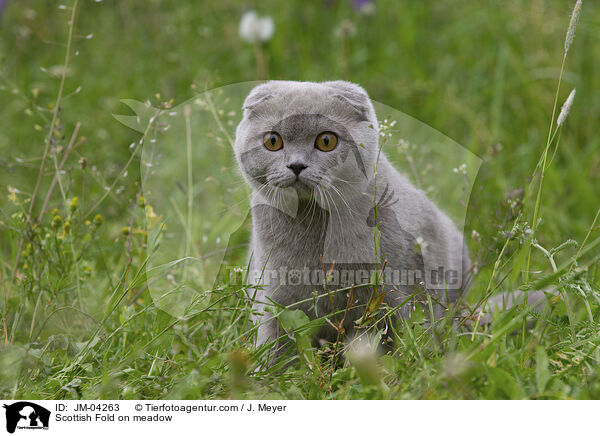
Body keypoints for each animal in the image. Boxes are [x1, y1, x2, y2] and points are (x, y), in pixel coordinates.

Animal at [232, 81, 472, 358]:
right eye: (273, 141)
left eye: (326, 141)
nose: (297, 165)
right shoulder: (275, 297)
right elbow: (275, 345)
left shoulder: (391, 295)